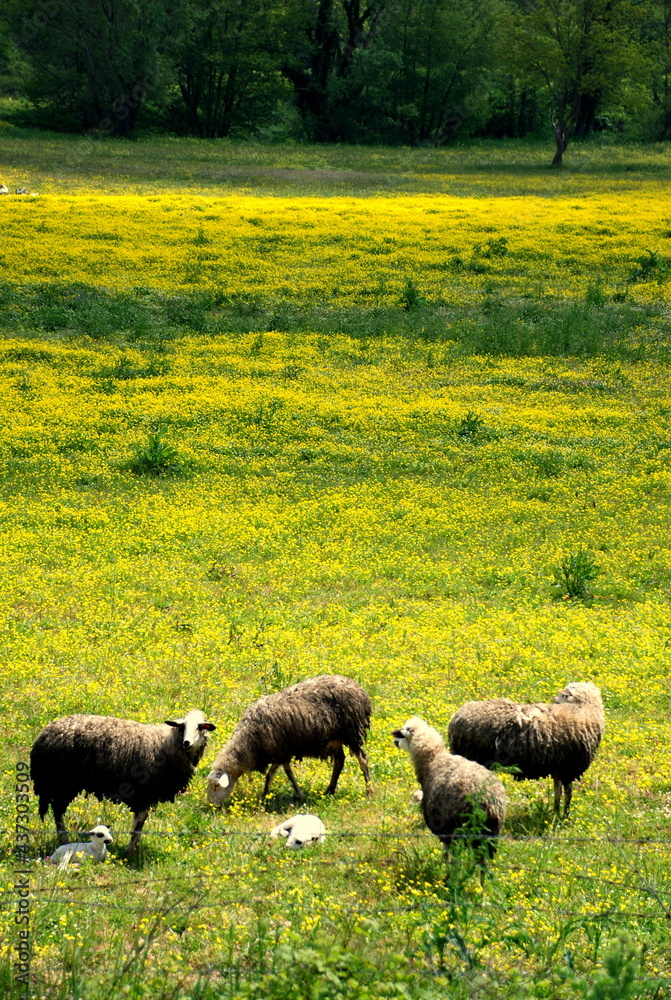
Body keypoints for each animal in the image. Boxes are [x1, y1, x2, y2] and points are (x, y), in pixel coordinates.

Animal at [31, 710, 216, 854]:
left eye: (200, 727)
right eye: (183, 726)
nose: (187, 742)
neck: (167, 744)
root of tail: (44, 734)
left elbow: (142, 822)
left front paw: (135, 847)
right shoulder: (144, 792)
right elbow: (138, 823)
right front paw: (130, 850)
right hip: (61, 781)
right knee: (58, 812)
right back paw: (64, 839)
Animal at [207, 675, 373, 805]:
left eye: (216, 786)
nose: (210, 806)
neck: (249, 741)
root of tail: (359, 689)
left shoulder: (279, 750)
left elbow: (273, 775)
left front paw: (264, 797)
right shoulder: (281, 752)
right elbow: (285, 773)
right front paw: (287, 794)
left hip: (352, 732)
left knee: (362, 759)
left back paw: (369, 790)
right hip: (334, 738)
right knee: (339, 761)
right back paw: (329, 790)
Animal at [392, 716, 506, 867]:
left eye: (403, 734)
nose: (395, 742)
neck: (433, 758)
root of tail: (488, 801)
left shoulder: (442, 826)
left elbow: (447, 852)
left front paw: (446, 867)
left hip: (461, 827)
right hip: (490, 833)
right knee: (483, 859)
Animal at [447, 682, 604, 816]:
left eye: (563, 695)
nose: (553, 700)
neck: (583, 709)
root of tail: (455, 718)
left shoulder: (559, 768)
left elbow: (558, 791)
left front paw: (556, 813)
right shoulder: (569, 768)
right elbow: (568, 794)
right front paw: (565, 816)